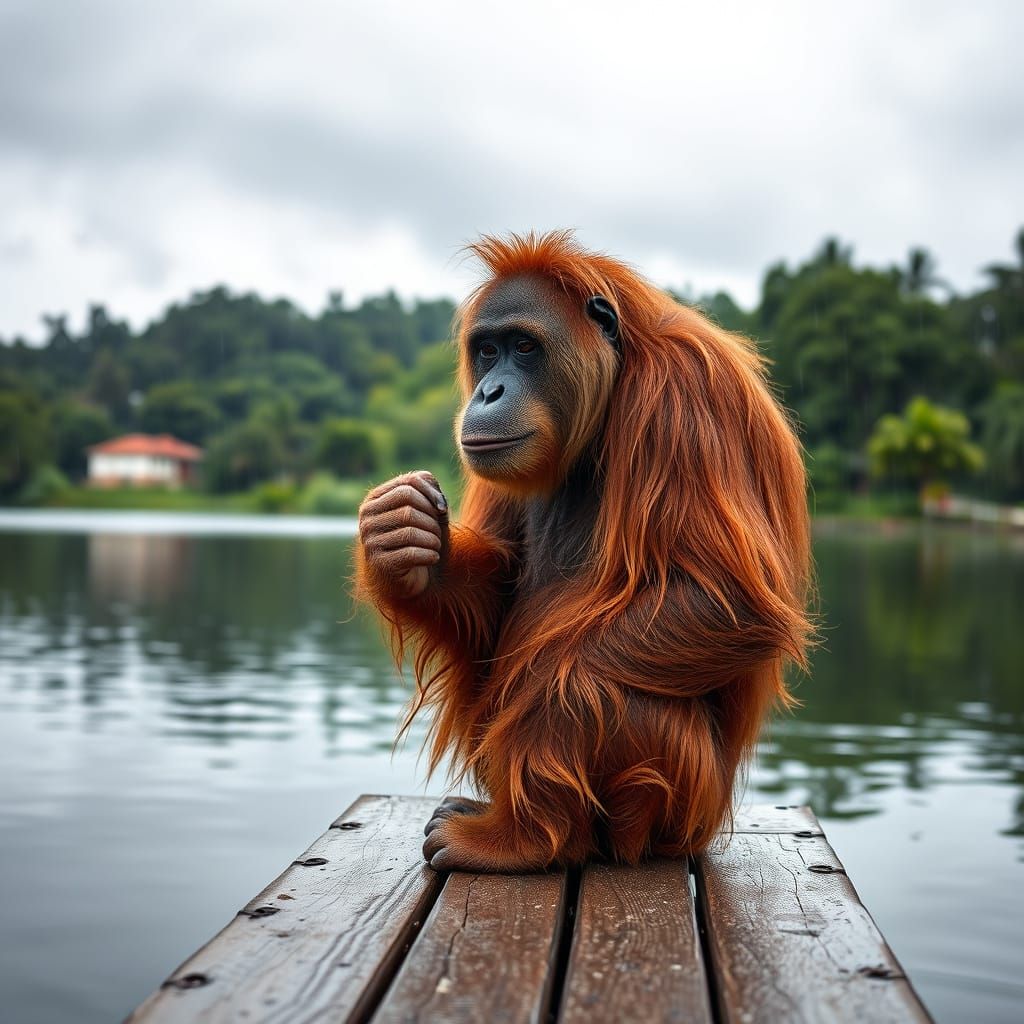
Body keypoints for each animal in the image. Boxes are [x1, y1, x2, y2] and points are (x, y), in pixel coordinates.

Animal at [355, 231, 813, 872]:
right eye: (488, 351)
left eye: (524, 348)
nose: (489, 391)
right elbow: (497, 602)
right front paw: (405, 542)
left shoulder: (688, 395)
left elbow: (728, 604)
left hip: (683, 811)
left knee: (608, 690)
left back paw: (523, 836)